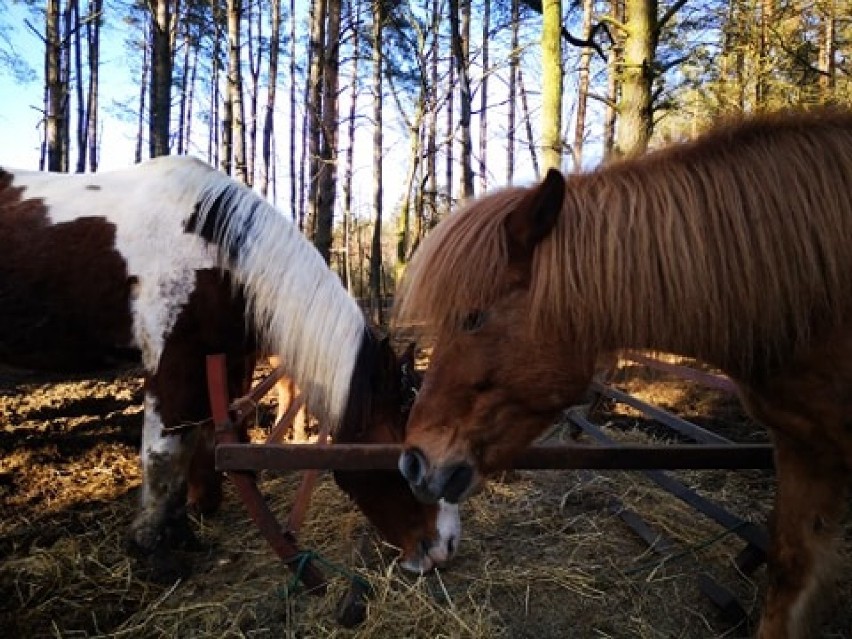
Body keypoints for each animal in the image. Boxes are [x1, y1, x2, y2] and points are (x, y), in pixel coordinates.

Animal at [0, 158, 460, 576]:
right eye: (407, 457)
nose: (447, 546)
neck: (215, 251)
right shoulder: (171, 364)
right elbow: (163, 456)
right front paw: (154, 552)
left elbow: (187, 450)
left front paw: (182, 534)